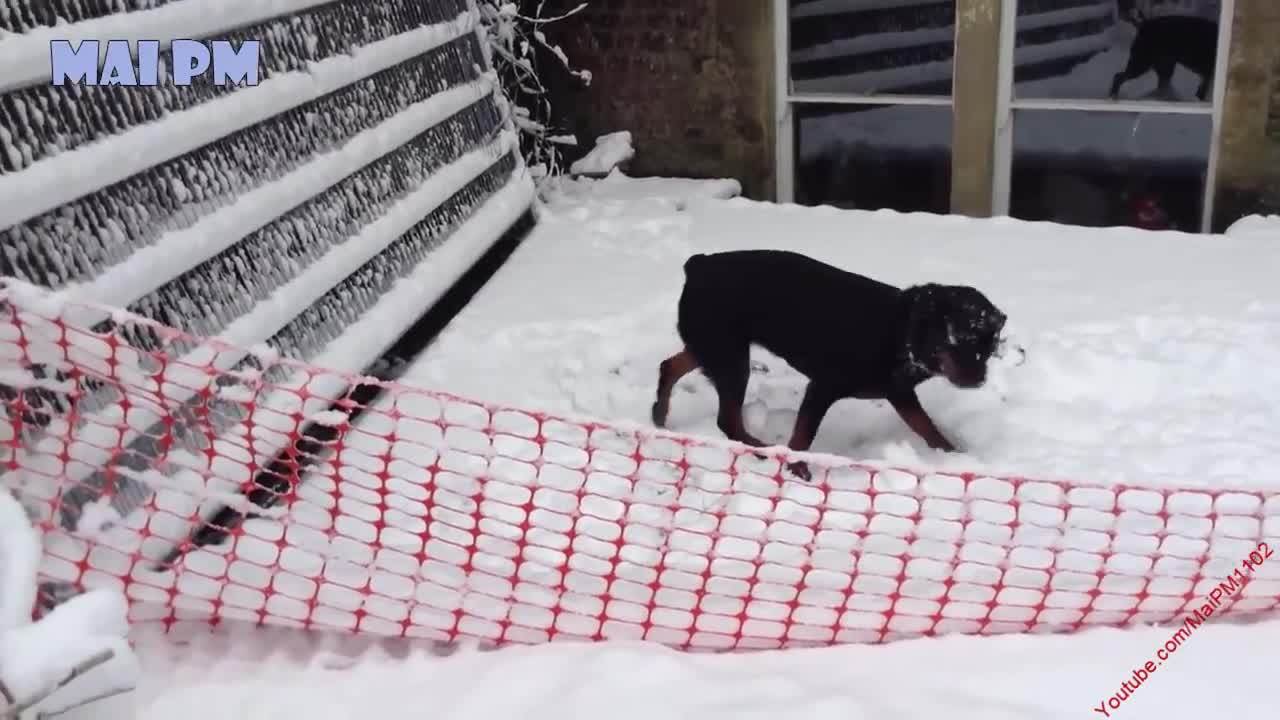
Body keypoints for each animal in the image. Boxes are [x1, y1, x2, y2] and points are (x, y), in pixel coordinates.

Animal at [655, 249, 1003, 479]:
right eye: (958, 338)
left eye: (990, 343)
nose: (979, 378)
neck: (901, 332)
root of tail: (699, 265)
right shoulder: (823, 386)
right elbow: (802, 436)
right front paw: (796, 468)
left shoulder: (900, 394)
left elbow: (929, 429)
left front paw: (957, 459)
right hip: (729, 355)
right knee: (728, 420)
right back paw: (761, 449)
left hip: (713, 345)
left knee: (669, 366)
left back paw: (659, 415)